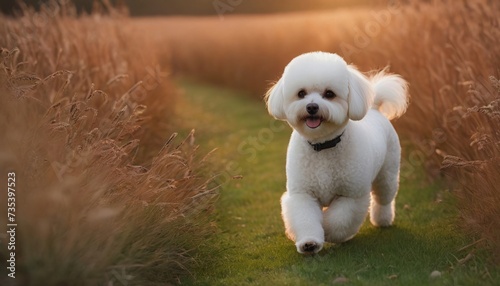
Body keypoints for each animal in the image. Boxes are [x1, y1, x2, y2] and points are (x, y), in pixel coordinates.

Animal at [266, 52, 410, 255]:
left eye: (329, 94)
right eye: (301, 93)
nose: (312, 107)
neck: (323, 146)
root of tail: (374, 108)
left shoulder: (352, 196)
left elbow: (338, 220)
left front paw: (326, 230)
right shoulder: (303, 194)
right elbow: (306, 219)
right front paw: (310, 243)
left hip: (387, 174)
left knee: (384, 199)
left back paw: (383, 220)